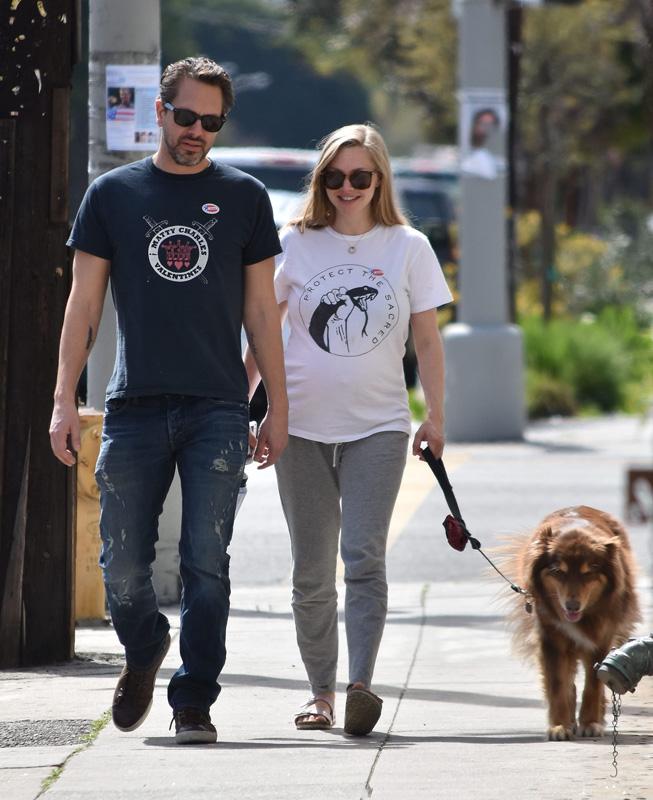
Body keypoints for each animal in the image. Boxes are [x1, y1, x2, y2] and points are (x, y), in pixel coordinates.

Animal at [506, 506, 640, 736]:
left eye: (588, 573)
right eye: (558, 571)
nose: (572, 606)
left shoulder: (600, 639)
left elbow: (594, 683)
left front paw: (591, 723)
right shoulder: (551, 638)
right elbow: (557, 683)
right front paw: (559, 725)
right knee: (568, 682)